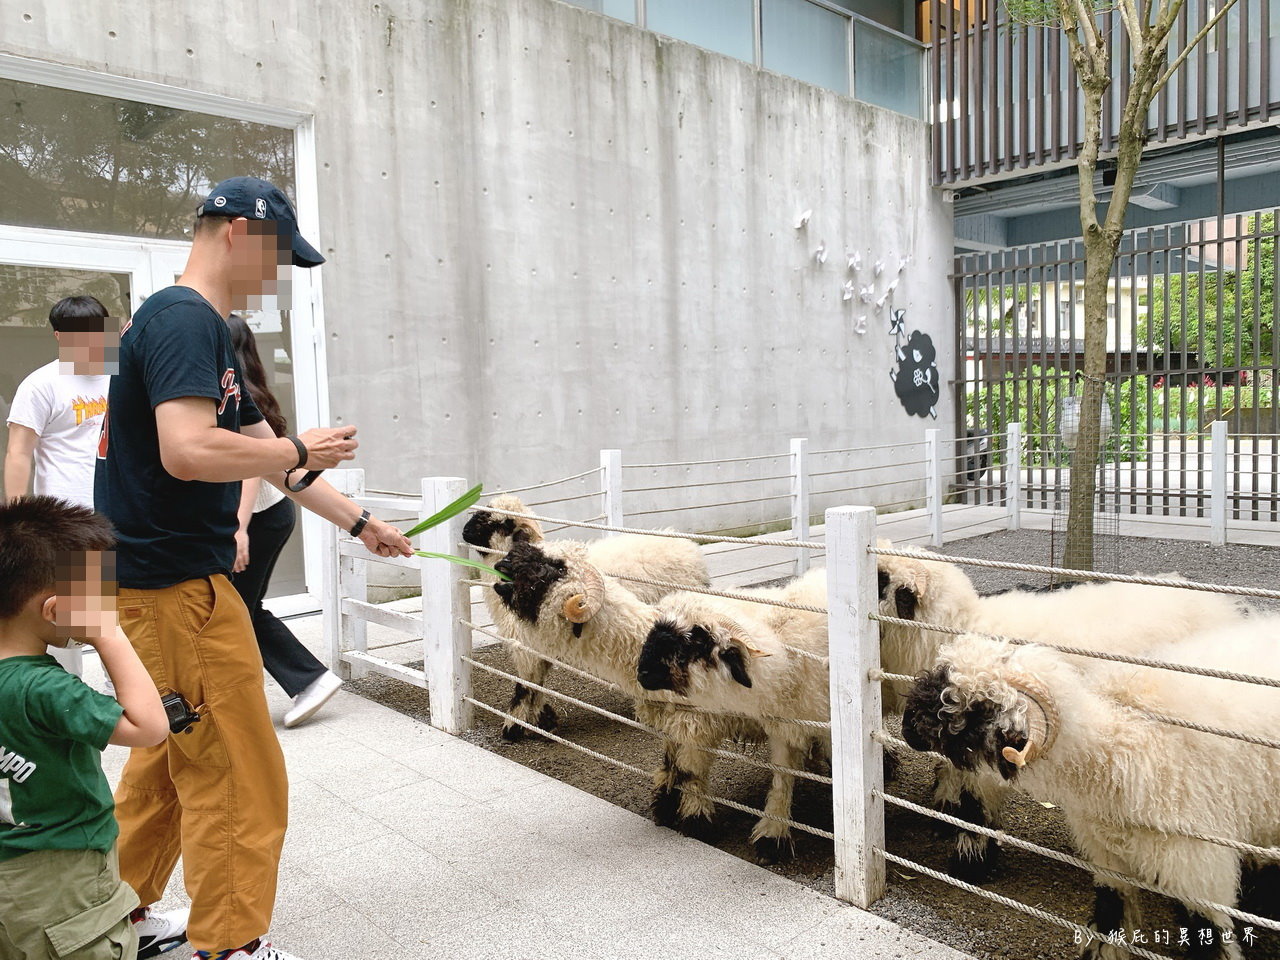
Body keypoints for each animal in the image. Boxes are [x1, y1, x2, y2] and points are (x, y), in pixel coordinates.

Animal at [463, 499, 711, 742]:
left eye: (503, 523)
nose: (465, 531)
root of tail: (689, 547)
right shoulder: (538, 646)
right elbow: (537, 685)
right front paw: (543, 721)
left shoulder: (527, 647)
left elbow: (525, 686)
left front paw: (514, 727)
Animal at [637, 568, 829, 870]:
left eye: (696, 642)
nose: (642, 672)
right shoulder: (694, 723)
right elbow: (685, 768)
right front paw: (682, 812)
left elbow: (783, 776)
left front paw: (770, 837)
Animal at [875, 542, 1244, 880]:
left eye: (880, 580)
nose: (907, 730)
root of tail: (1225, 606)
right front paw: (945, 817)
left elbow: (974, 808)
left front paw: (970, 861)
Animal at [901, 627, 1280, 960]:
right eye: (941, 672)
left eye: (978, 708)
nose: (907, 729)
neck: (1116, 752)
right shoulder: (1106, 855)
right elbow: (1111, 908)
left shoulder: (1199, 869)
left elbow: (1209, 936)